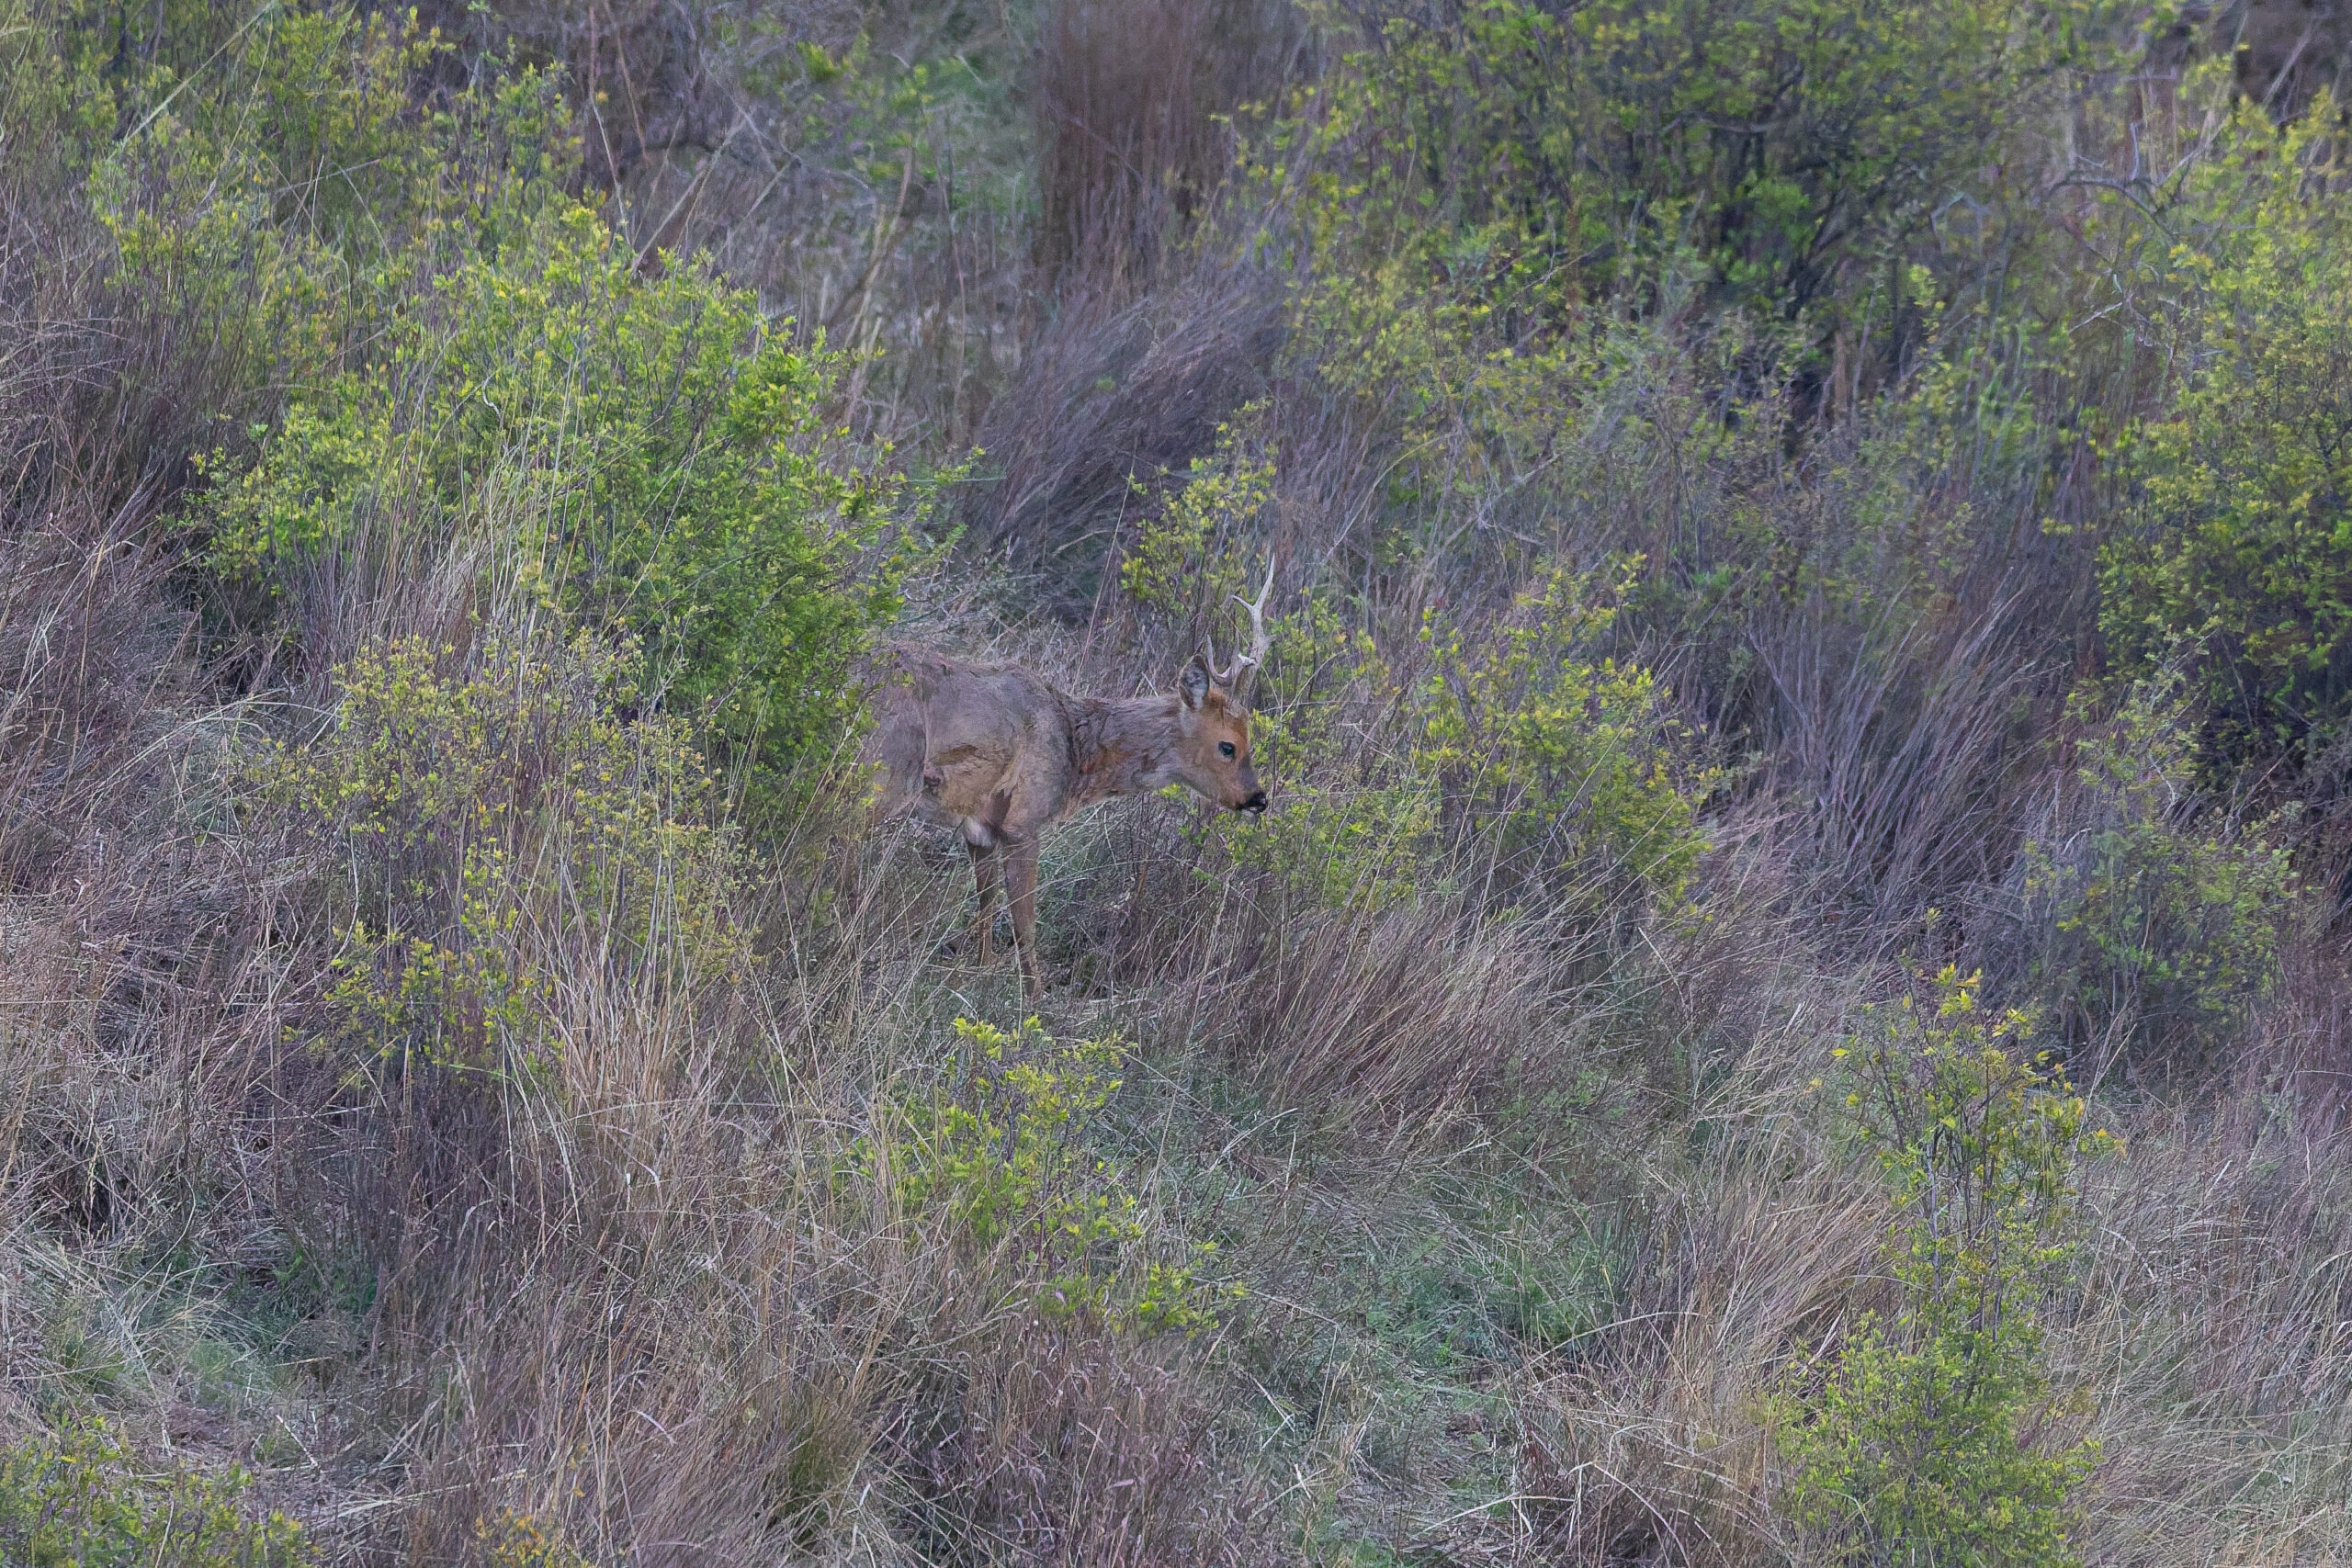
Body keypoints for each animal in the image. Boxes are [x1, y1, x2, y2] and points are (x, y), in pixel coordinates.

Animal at [866, 563, 1276, 1002]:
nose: (1258, 798)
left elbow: (985, 905)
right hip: (884, 771)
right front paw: (1034, 999)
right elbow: (1024, 923)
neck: (1074, 750)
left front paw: (976, 972)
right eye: (1228, 746)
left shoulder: (979, 827)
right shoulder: (1023, 821)